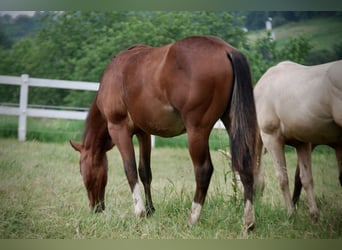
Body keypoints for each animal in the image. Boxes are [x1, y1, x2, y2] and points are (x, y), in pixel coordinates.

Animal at [69, 36, 260, 229]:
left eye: (82, 171)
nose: (95, 208)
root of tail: (226, 50)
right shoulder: (144, 133)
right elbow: (144, 171)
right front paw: (150, 210)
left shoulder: (118, 129)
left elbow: (130, 169)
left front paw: (139, 211)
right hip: (233, 122)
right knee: (244, 163)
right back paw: (248, 222)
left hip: (197, 131)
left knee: (203, 170)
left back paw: (193, 218)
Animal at [254, 59, 342, 222]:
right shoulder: (303, 143)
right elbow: (305, 178)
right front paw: (314, 216)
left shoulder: (271, 137)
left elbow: (283, 178)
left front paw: (290, 213)